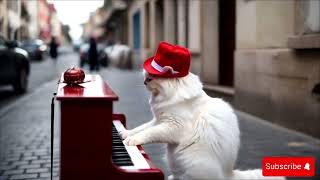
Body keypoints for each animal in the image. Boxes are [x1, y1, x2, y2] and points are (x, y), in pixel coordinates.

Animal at [120, 71, 284, 179]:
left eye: (151, 78)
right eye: (145, 76)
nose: (144, 82)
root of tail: (229, 174)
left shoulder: (172, 126)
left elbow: (149, 133)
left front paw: (130, 140)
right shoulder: (157, 121)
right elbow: (141, 128)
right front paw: (125, 134)